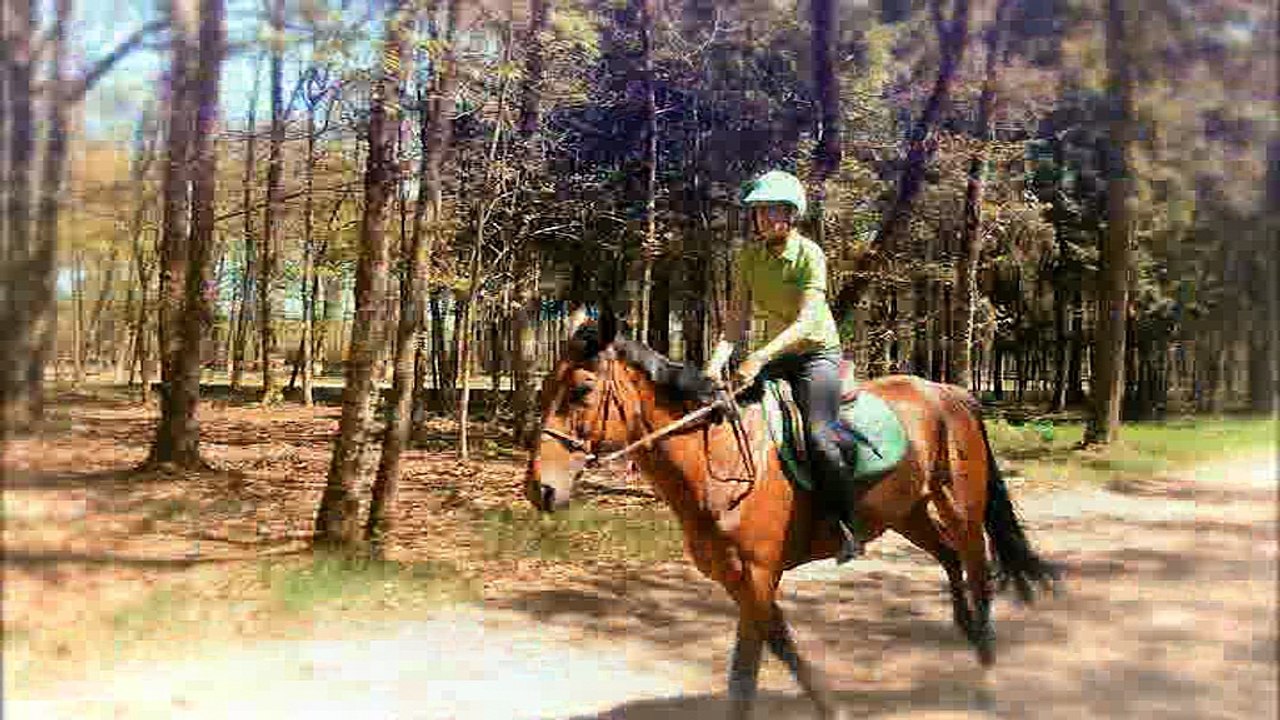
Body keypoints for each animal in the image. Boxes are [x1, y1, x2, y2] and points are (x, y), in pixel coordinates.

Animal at [523, 309, 1059, 720]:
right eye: (545, 388)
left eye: (581, 391)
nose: (540, 488)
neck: (719, 458)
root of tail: (950, 394)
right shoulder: (741, 582)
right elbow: (785, 649)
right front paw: (831, 708)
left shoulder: (758, 576)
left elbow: (745, 676)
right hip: (908, 512)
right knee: (949, 559)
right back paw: (965, 629)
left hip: (960, 508)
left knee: (977, 572)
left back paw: (986, 676)